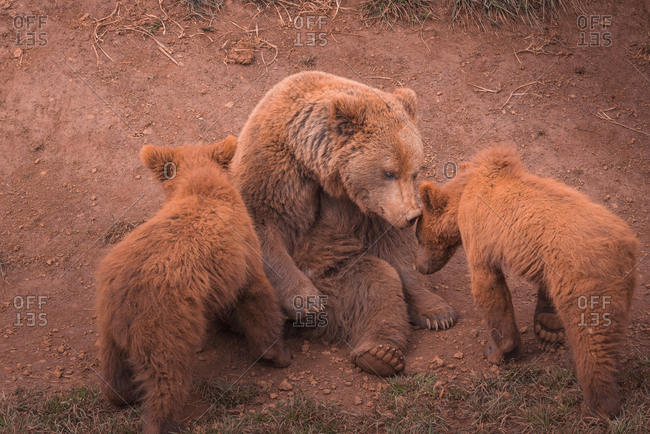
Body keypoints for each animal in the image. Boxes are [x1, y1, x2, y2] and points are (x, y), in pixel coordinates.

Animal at [233, 71, 456, 376]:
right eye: (389, 172)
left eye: (414, 171)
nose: (412, 216)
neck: (316, 166)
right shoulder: (274, 170)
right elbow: (260, 225)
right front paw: (308, 302)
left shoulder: (366, 208)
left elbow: (394, 250)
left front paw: (438, 312)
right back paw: (273, 347)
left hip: (340, 274)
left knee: (377, 284)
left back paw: (380, 354)